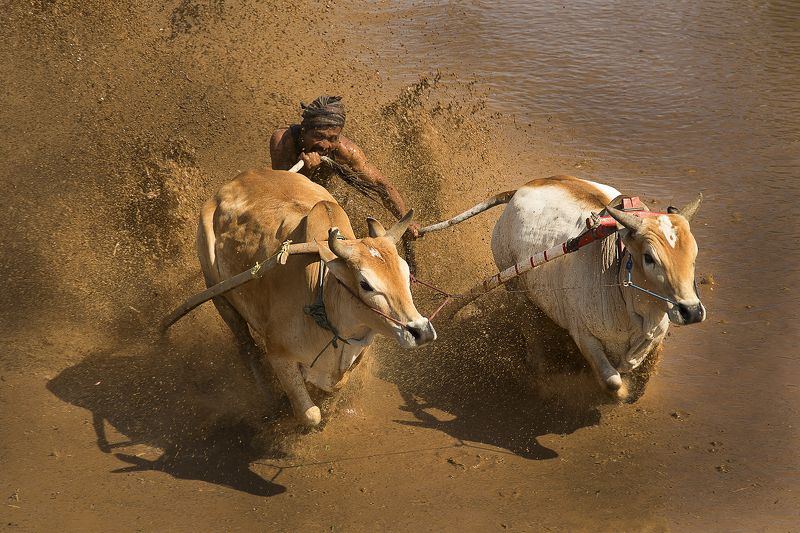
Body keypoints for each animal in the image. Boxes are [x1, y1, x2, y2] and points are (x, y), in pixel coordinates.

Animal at [197, 169, 436, 426]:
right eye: (365, 284)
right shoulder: (278, 355)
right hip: (220, 298)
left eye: (405, 272)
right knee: (246, 345)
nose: (421, 331)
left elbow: (333, 390)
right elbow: (310, 415)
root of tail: (230, 184)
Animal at [491, 175, 705, 399]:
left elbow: (635, 367)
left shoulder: (657, 333)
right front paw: (621, 392)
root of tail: (521, 189)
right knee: (530, 330)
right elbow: (612, 380)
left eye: (694, 254)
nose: (692, 311)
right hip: (514, 288)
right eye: (649, 257)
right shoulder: (584, 335)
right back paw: (537, 366)